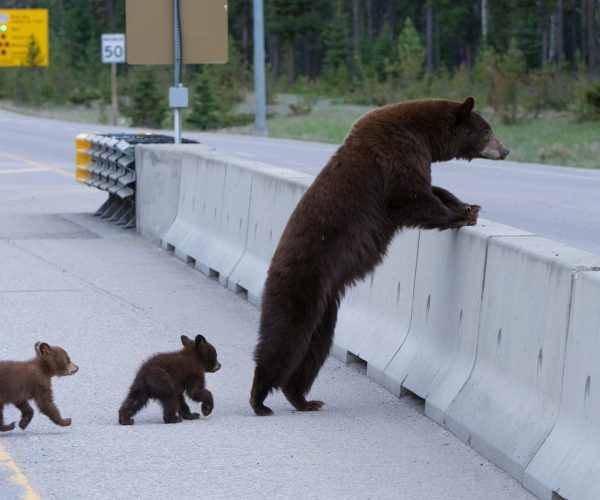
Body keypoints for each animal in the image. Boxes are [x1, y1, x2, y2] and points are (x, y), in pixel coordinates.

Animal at [251, 95, 508, 416]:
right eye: (487, 131)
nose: (505, 150)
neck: (424, 134)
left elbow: (431, 188)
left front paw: (467, 205)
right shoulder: (397, 153)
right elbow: (410, 195)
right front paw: (459, 214)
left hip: (326, 307)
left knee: (315, 347)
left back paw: (302, 397)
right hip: (301, 285)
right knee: (285, 337)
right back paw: (260, 399)